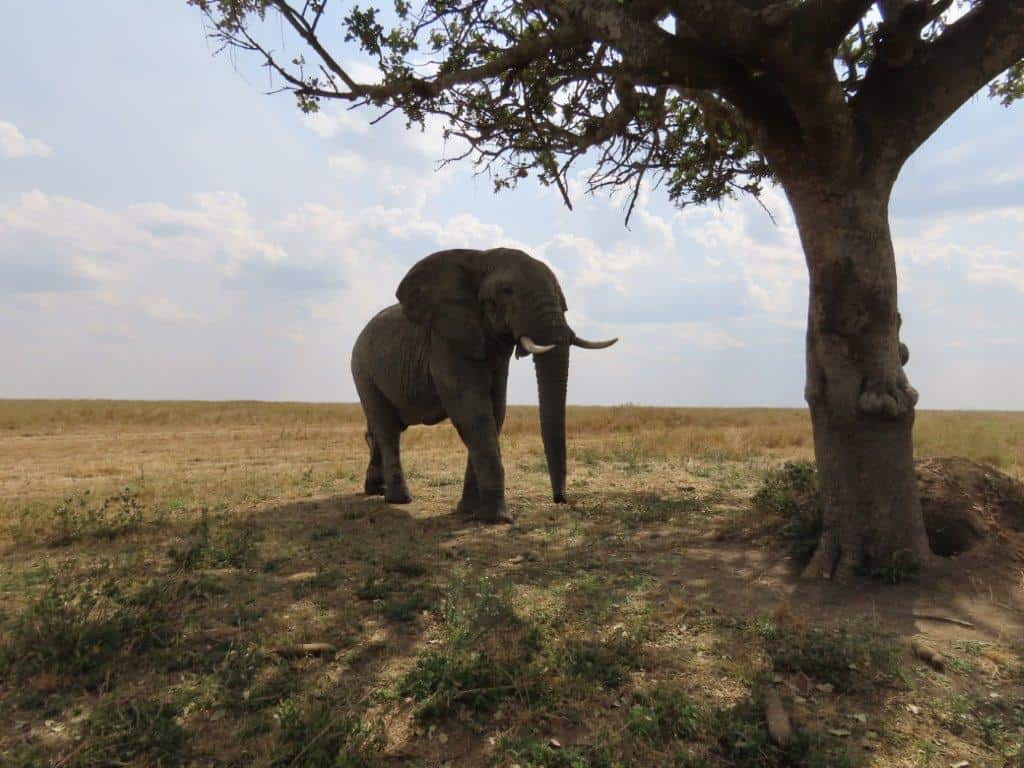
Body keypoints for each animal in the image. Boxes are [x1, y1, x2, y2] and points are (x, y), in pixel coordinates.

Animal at [351, 247, 617, 523]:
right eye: (507, 291)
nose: (560, 500)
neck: (479, 257)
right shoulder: (445, 341)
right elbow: (474, 412)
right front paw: (496, 519)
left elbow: (495, 411)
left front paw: (468, 511)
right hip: (363, 370)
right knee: (387, 429)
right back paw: (399, 499)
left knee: (381, 429)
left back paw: (376, 490)